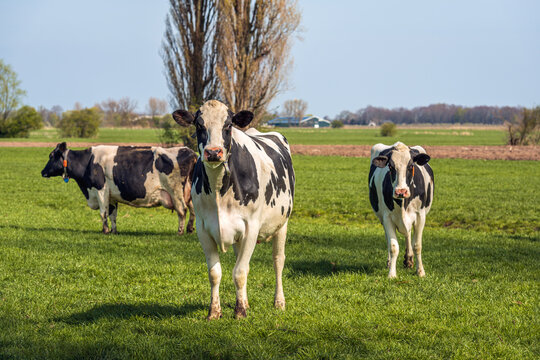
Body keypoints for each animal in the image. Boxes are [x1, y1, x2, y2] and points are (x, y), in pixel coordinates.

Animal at [40, 143, 196, 236]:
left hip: (176, 191)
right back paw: (189, 229)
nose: (42, 172)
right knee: (193, 209)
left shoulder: (100, 189)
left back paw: (180, 232)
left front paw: (105, 231)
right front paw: (113, 231)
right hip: (189, 191)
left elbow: (103, 213)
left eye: (51, 156)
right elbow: (112, 214)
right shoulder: (111, 196)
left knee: (182, 210)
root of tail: (189, 151)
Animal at [370, 142, 432, 278]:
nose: (401, 191)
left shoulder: (420, 216)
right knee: (390, 239)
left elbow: (417, 245)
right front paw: (392, 274)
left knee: (408, 234)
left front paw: (420, 272)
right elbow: (393, 246)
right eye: (390, 166)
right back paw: (391, 263)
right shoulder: (387, 218)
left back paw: (409, 259)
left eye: (411, 166)